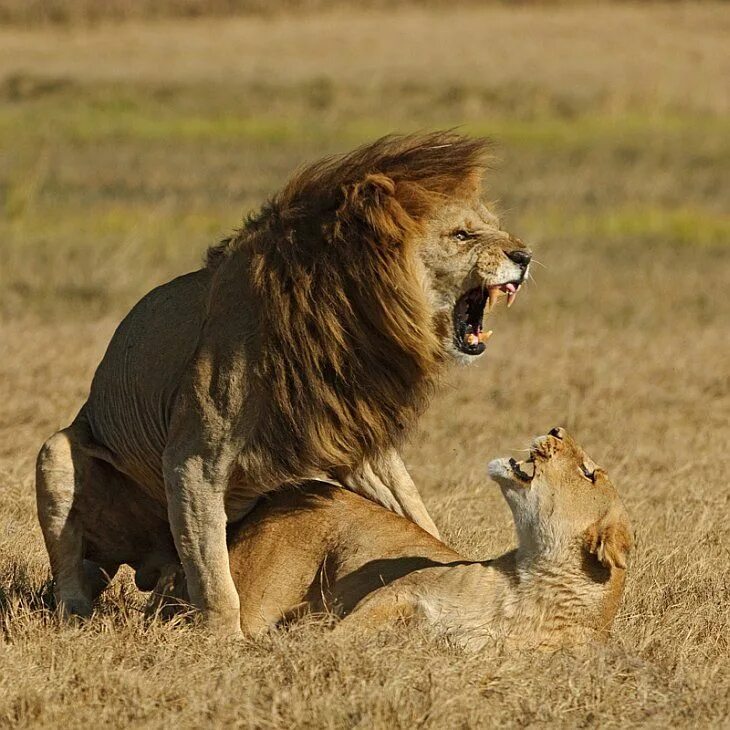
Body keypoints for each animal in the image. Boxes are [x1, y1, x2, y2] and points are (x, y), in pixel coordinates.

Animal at [35, 132, 528, 632]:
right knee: (74, 567)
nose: (524, 256)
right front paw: (223, 639)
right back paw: (74, 616)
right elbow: (214, 574)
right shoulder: (193, 457)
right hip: (55, 455)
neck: (348, 320)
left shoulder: (350, 439)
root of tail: (143, 564)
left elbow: (413, 509)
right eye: (462, 235)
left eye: (496, 228)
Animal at [155, 424, 632, 644]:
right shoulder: (405, 590)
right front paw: (308, 644)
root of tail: (292, 488)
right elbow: (346, 632)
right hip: (255, 592)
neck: (528, 591)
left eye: (588, 473)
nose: (556, 429)